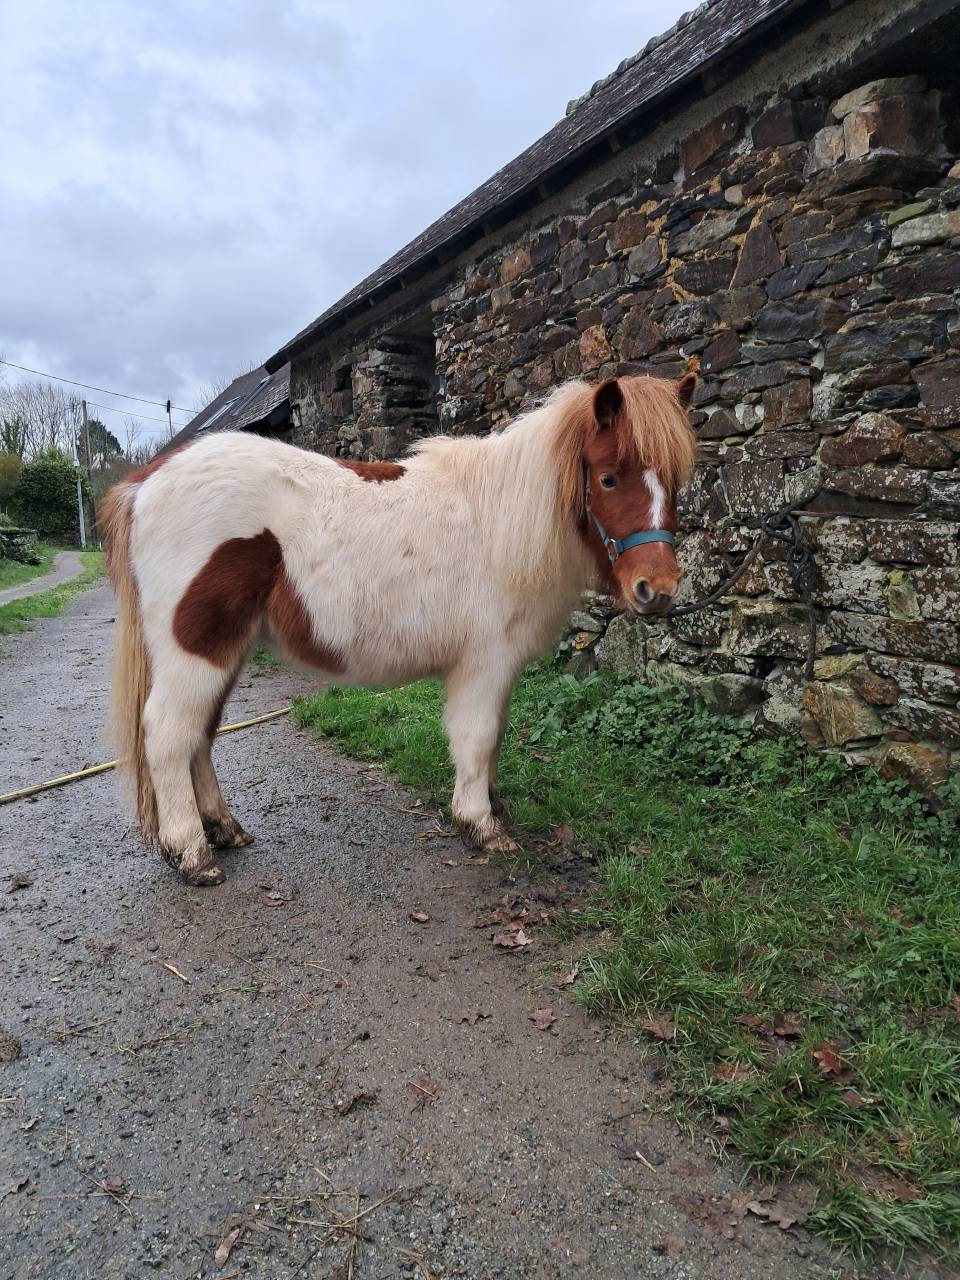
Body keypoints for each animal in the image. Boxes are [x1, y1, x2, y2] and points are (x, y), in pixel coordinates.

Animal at [100, 372, 697, 886]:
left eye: (674, 480)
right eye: (609, 477)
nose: (659, 588)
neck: (499, 522)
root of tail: (146, 483)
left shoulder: (498, 670)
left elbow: (496, 735)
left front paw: (495, 808)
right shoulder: (483, 664)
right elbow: (478, 737)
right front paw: (480, 825)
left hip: (226, 649)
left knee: (199, 734)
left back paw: (224, 830)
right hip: (195, 649)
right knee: (169, 735)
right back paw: (193, 853)